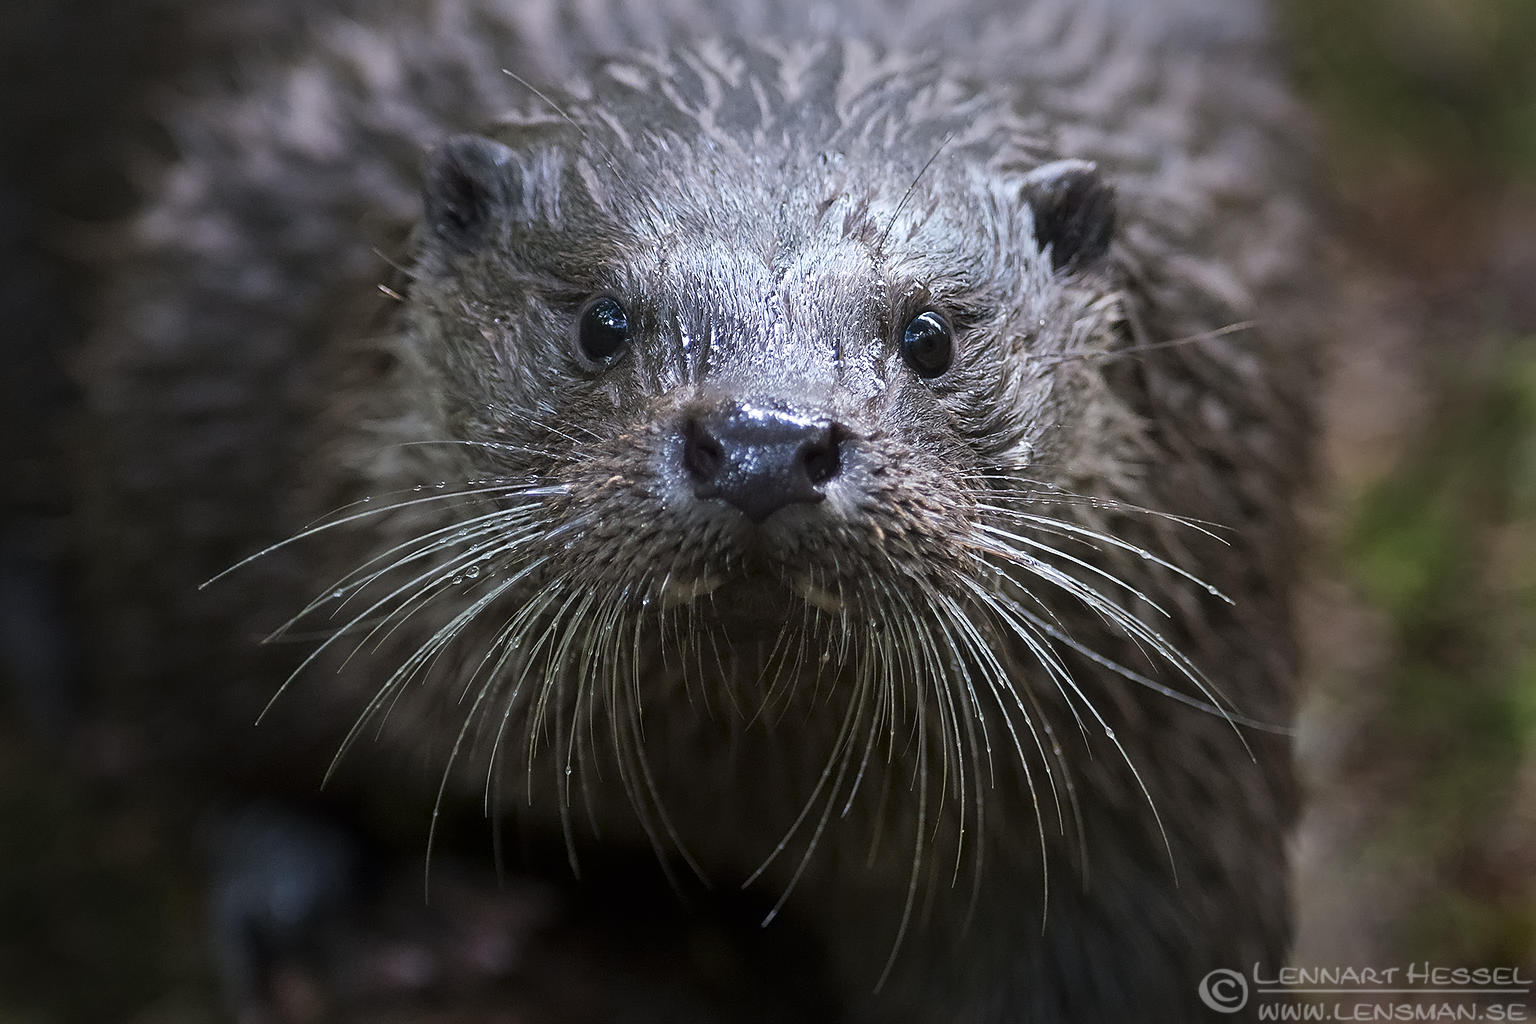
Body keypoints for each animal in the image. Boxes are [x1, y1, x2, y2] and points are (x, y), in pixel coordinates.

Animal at [71, 0, 1316, 1019]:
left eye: (928, 334)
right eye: (603, 322)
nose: (764, 439)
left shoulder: (1152, 809)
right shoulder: (207, 362)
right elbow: (200, 720)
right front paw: (337, 907)